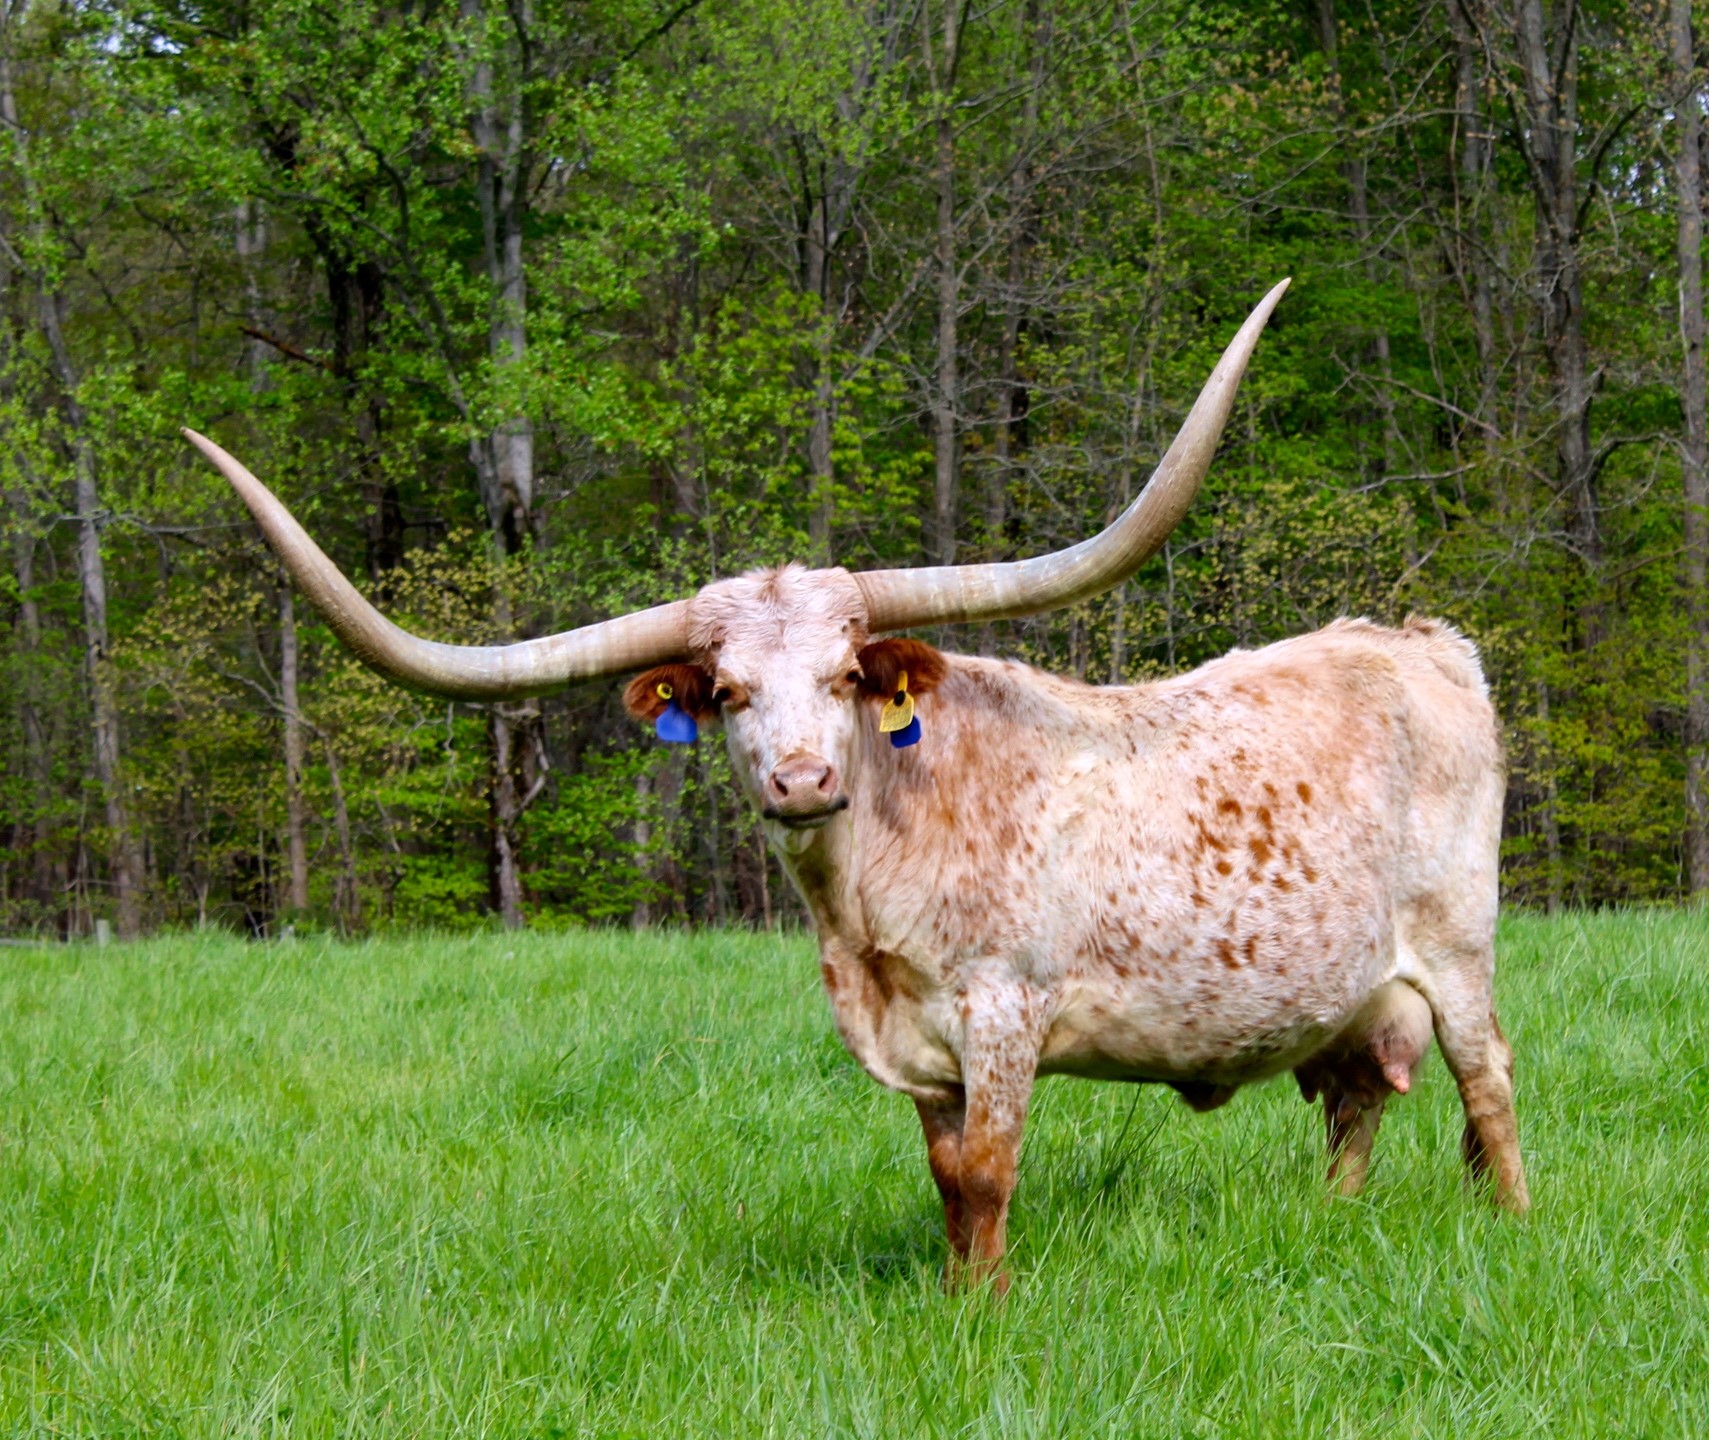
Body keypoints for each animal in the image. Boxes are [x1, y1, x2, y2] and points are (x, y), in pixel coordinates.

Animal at [185, 279, 1529, 1291]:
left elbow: (989, 1170)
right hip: (1345, 997)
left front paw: (986, 1313)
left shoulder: (1002, 1007)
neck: (865, 913)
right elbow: (946, 1183)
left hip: (1457, 948)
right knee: (1353, 1103)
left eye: (842, 675)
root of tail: (1418, 640)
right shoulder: (915, 1045)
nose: (797, 781)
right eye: (726, 693)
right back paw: (1335, 1220)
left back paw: (1511, 1227)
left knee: (1488, 1087)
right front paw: (955, 1295)